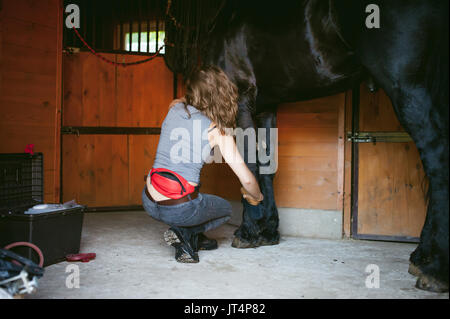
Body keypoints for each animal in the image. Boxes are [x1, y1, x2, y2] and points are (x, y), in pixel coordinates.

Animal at [163, 0, 448, 294]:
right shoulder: (266, 107)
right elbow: (267, 166)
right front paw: (269, 231)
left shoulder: (240, 100)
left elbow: (249, 165)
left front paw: (249, 231)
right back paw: (422, 256)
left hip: (408, 87)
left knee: (437, 157)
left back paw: (434, 268)